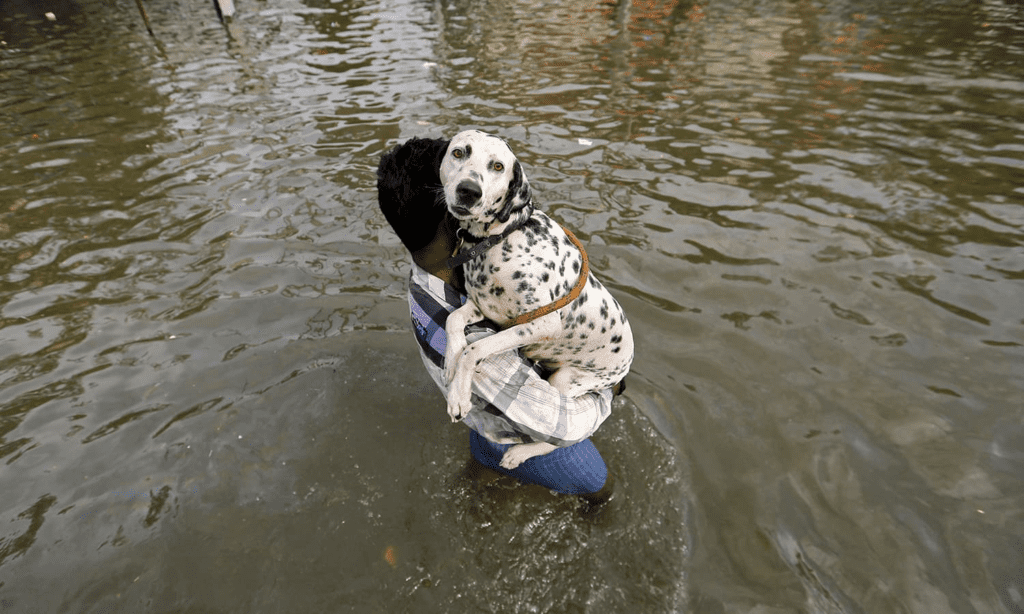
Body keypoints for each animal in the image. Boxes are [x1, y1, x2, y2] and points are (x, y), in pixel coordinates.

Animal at [440, 126, 630, 468]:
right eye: (459, 152)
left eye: (498, 166)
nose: (468, 191)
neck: (500, 238)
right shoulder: (483, 308)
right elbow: (452, 320)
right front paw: (450, 359)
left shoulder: (540, 325)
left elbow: (475, 349)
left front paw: (459, 396)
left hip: (566, 381)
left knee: (562, 439)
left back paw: (520, 452)